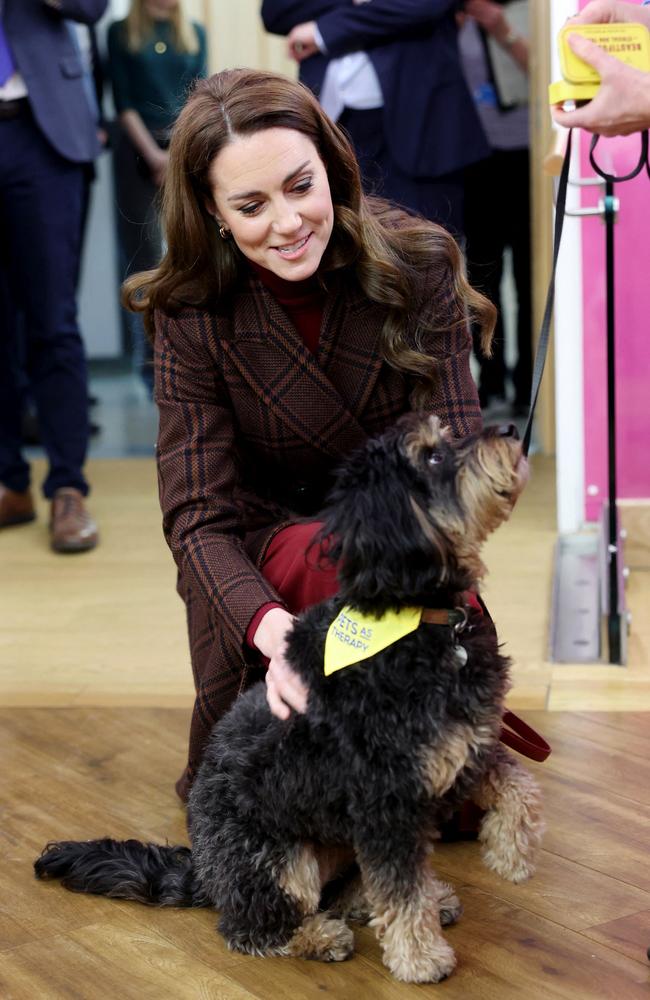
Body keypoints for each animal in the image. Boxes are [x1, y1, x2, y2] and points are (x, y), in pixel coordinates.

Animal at [35, 414, 540, 984]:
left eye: (450, 434)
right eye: (432, 456)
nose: (509, 428)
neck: (415, 619)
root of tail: (204, 870)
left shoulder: (463, 749)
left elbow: (519, 786)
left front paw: (512, 852)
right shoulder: (386, 800)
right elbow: (401, 890)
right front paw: (421, 958)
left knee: (345, 891)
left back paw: (418, 900)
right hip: (274, 859)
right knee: (253, 926)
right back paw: (318, 937)